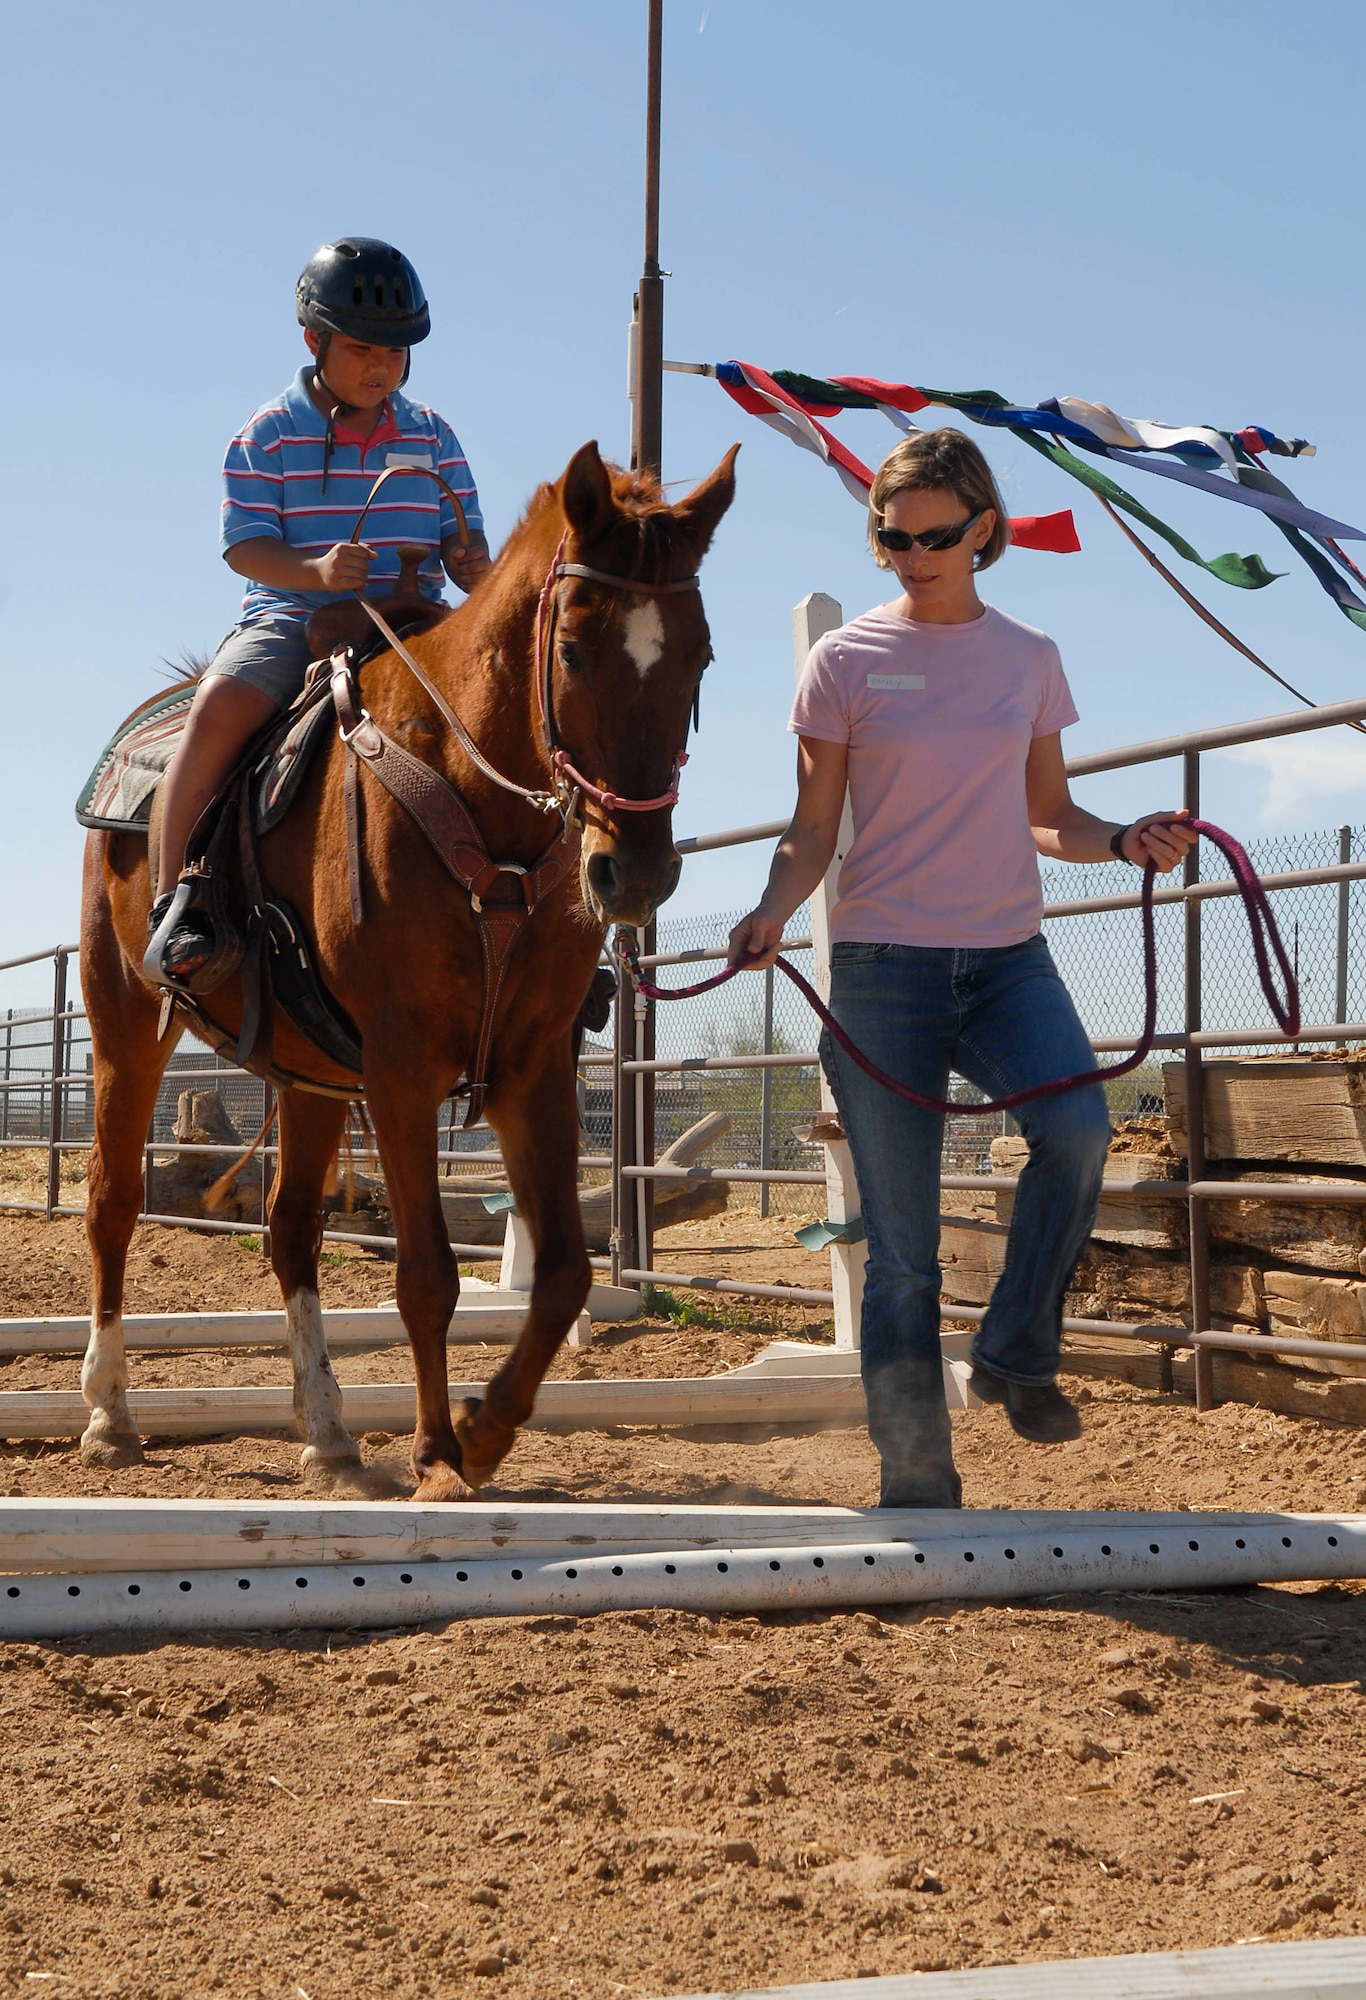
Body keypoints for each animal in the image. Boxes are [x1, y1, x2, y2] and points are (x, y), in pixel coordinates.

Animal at [79, 439, 738, 1500]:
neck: (482, 820)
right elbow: (426, 1271)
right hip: (125, 1026)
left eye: (700, 655)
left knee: (291, 1228)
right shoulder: (400, 1069)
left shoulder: (532, 1065)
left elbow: (565, 1271)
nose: (632, 871)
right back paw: (109, 1413)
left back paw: (329, 1433)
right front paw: (437, 1450)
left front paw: (486, 1427)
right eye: (571, 649)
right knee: (112, 1202)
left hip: (307, 1073)